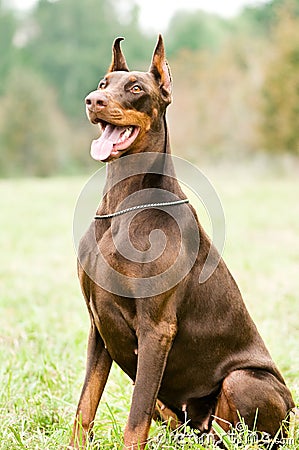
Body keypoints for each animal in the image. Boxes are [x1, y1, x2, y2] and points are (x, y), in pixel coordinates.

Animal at [69, 36, 296, 450]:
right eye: (104, 83)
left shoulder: (156, 329)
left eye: (136, 88)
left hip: (242, 382)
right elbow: (85, 407)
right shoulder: (97, 326)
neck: (123, 206)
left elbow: (135, 419)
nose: (93, 100)